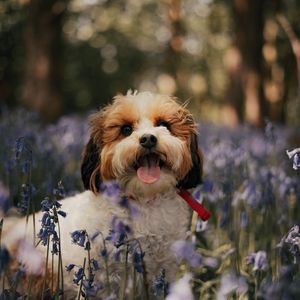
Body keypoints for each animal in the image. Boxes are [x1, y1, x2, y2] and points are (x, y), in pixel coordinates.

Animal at [1, 91, 202, 298]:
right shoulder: (103, 276)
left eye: (164, 124)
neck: (143, 200)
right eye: (126, 129)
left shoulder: (162, 270)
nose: (148, 139)